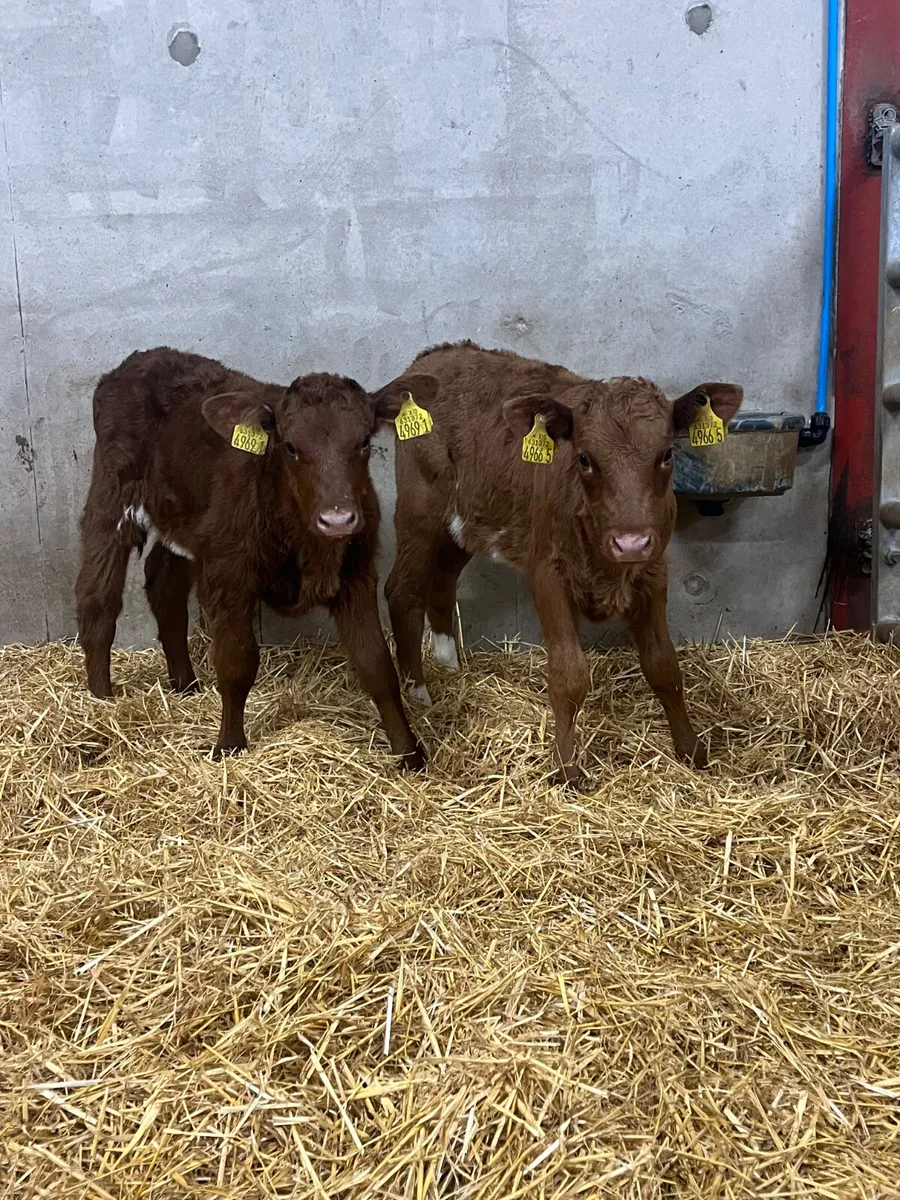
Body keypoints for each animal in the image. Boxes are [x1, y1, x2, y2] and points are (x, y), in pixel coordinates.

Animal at [75, 347, 437, 770]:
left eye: (364, 442)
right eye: (291, 447)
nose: (337, 519)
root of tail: (139, 360)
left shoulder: (357, 574)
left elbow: (376, 663)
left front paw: (409, 752)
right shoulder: (228, 574)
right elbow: (237, 663)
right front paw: (229, 746)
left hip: (188, 518)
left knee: (164, 585)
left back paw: (185, 684)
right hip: (112, 490)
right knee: (98, 594)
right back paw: (101, 699)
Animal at [383, 341, 743, 787]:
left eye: (666, 454)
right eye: (584, 459)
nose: (630, 542)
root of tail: (436, 354)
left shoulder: (653, 571)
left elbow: (664, 666)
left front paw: (692, 751)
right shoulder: (548, 573)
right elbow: (569, 674)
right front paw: (568, 768)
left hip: (467, 519)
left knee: (442, 582)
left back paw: (450, 666)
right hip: (420, 507)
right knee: (402, 591)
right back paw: (419, 692)